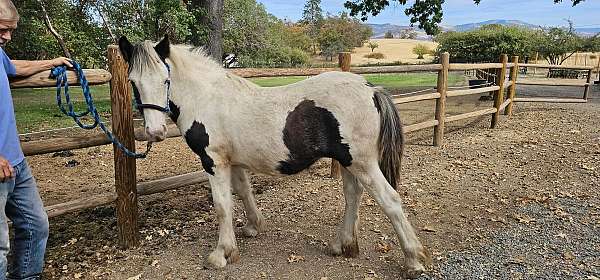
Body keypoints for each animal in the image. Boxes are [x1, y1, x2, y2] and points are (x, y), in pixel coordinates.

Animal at [117, 36, 426, 276]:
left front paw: (220, 254)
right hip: (349, 163)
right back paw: (343, 245)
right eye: (133, 82)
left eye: (165, 80)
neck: (207, 98)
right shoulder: (233, 161)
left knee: (390, 200)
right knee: (353, 196)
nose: (154, 132)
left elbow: (221, 205)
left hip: (361, 162)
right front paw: (252, 227)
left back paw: (413, 259)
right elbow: (243, 192)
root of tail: (371, 89)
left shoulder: (214, 162)